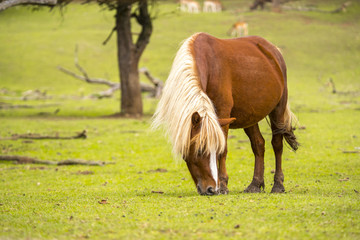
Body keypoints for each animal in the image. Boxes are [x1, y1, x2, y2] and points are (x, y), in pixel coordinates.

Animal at [152, 32, 298, 196]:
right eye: (200, 149)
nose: (210, 189)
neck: (209, 65)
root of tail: (273, 50)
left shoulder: (223, 114)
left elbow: (223, 150)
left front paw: (222, 185)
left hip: (278, 110)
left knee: (277, 144)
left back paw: (278, 185)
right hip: (250, 117)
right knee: (258, 144)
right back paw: (255, 184)